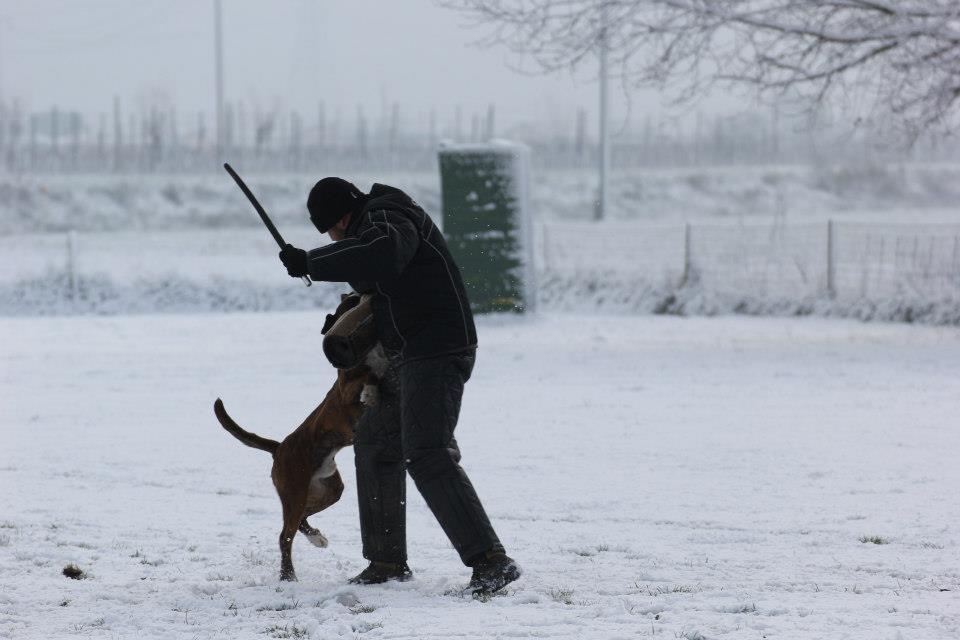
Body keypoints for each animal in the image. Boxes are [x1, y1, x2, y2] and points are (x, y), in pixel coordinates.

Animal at [214, 294, 386, 580]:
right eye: (353, 300)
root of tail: (279, 447)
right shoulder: (346, 391)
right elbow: (367, 376)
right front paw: (371, 392)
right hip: (295, 491)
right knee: (285, 535)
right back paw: (288, 575)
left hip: (327, 491)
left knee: (301, 520)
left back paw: (316, 538)